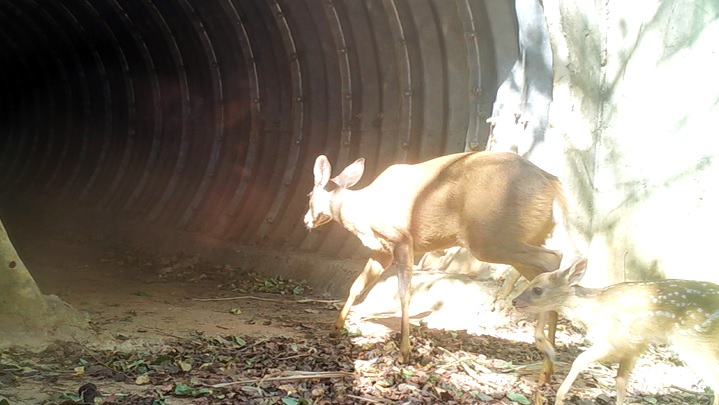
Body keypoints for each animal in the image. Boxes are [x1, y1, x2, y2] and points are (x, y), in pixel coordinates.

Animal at [304, 151, 568, 382]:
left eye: (308, 196)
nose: (306, 220)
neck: (360, 211)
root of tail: (552, 183)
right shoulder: (382, 251)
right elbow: (357, 286)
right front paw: (336, 328)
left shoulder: (401, 239)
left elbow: (404, 292)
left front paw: (404, 352)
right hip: (518, 239)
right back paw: (547, 369)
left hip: (492, 238)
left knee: (553, 258)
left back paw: (544, 351)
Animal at [512, 258, 719, 404]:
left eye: (538, 289)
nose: (514, 301)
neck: (592, 309)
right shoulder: (634, 346)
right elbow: (620, 380)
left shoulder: (612, 339)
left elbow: (579, 360)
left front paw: (560, 397)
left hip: (696, 342)